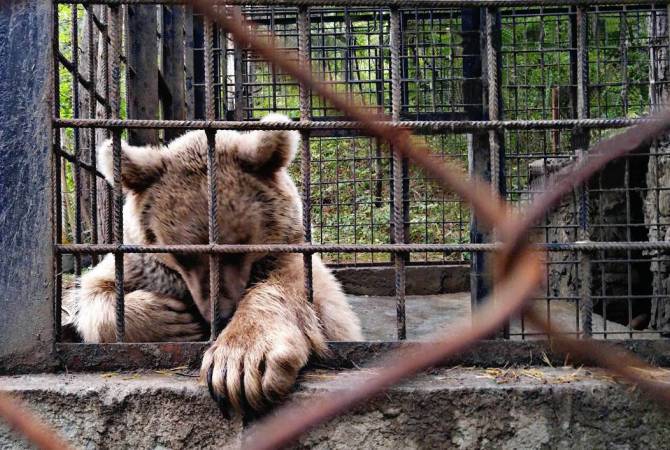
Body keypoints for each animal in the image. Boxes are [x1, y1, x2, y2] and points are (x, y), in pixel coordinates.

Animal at [64, 112, 362, 412]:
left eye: (239, 246)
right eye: (182, 254)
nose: (218, 314)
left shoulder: (289, 254)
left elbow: (308, 298)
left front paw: (239, 365)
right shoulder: (141, 262)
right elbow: (93, 292)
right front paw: (173, 319)